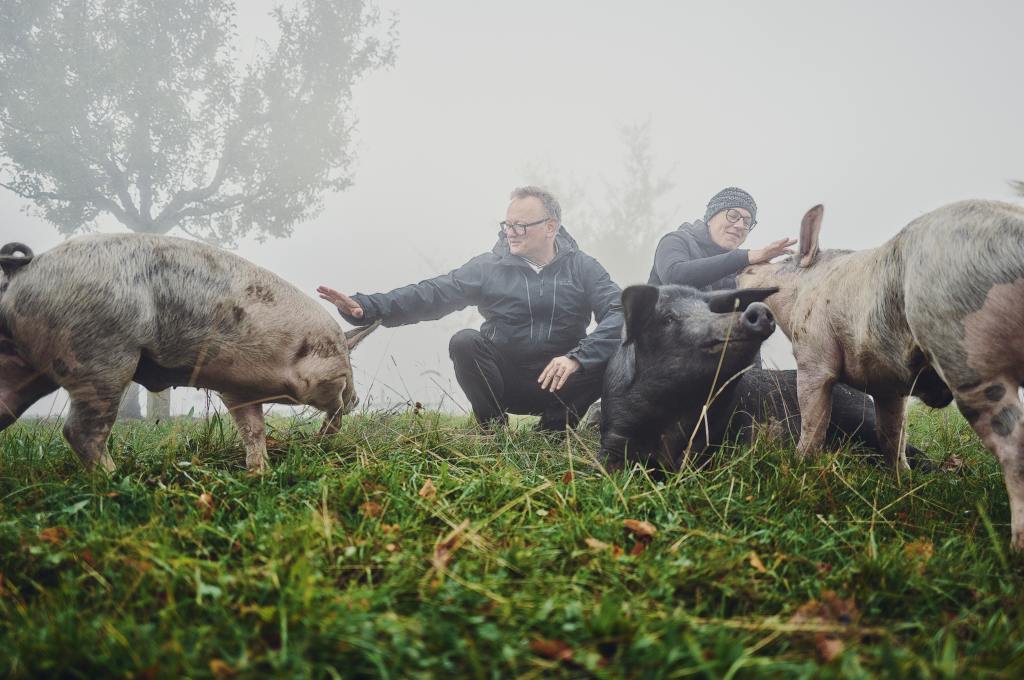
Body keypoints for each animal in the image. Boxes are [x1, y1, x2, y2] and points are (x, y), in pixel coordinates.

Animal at [0, 233, 378, 473]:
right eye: (350, 366)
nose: (359, 399)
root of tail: (25, 268)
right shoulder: (321, 376)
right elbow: (333, 405)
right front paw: (324, 437)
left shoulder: (237, 389)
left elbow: (253, 429)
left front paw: (260, 472)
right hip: (100, 354)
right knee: (79, 431)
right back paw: (116, 481)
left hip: (22, 365)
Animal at [598, 284, 933, 475]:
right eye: (668, 318)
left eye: (712, 309)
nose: (757, 309)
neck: (672, 417)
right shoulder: (615, 433)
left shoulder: (714, 436)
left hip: (858, 415)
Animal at [741, 199, 1024, 548]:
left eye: (779, 261)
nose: (740, 271)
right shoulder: (887, 385)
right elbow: (891, 433)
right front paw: (901, 483)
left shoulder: (813, 352)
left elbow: (814, 421)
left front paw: (799, 467)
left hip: (969, 351)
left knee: (1014, 446)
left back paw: (1014, 547)